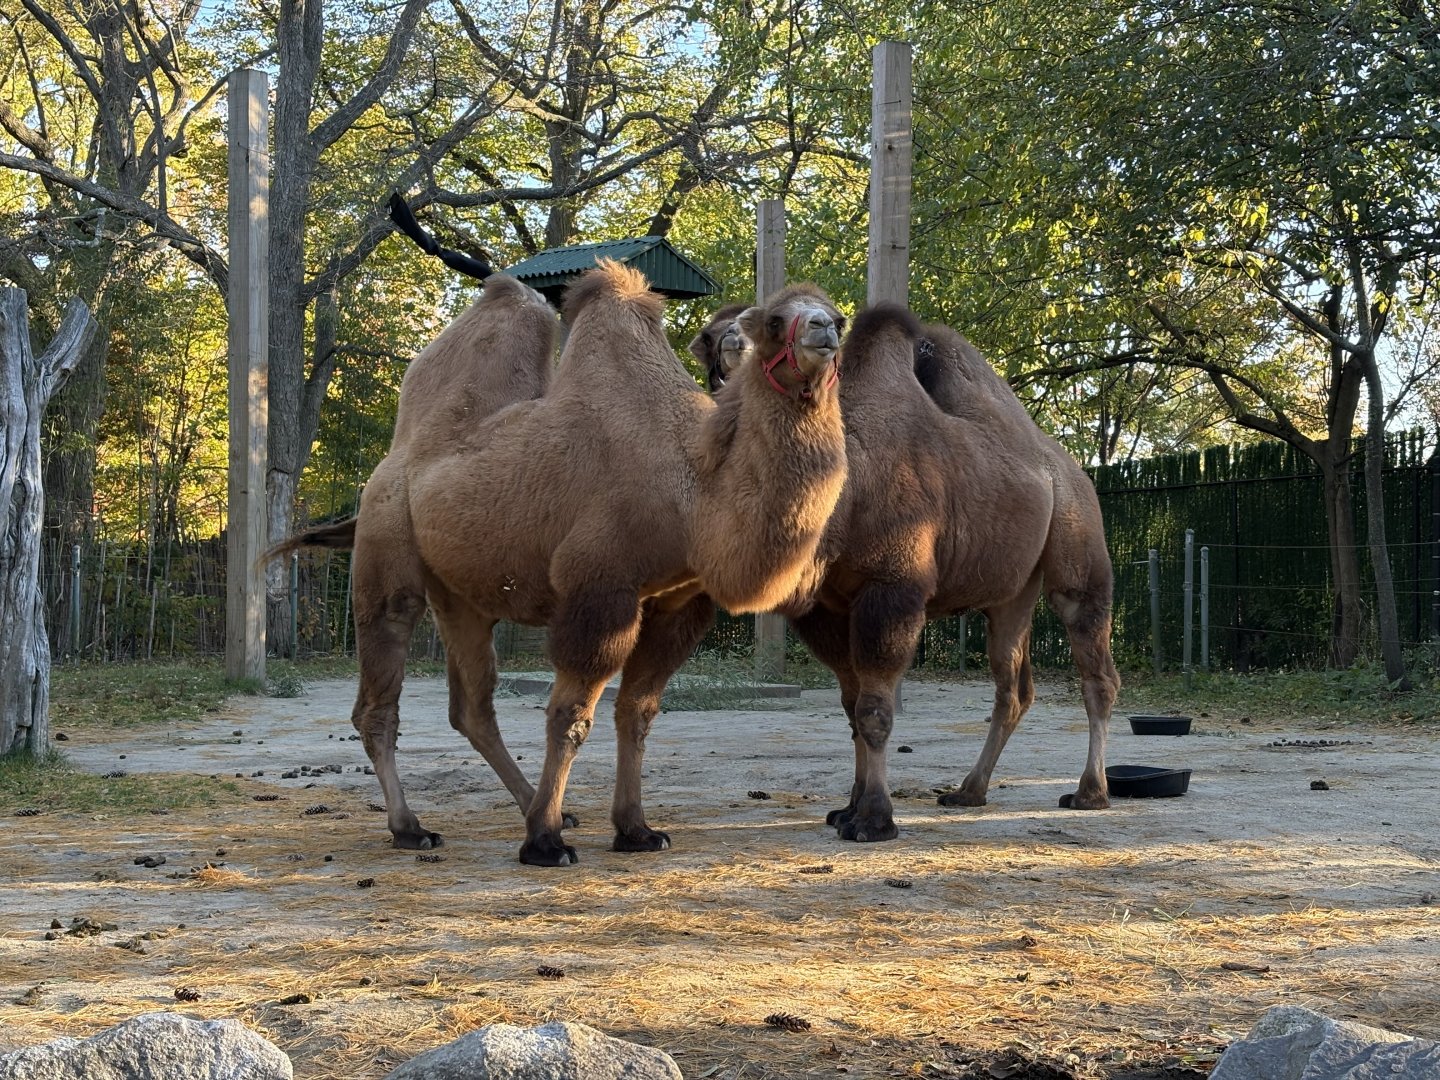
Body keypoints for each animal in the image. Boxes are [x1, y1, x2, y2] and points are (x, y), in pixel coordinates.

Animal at [276, 262, 848, 865]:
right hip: (387, 550)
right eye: (775, 321)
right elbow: (569, 718)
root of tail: (393, 464)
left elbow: (637, 714)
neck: (690, 486)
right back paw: (412, 827)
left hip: (460, 593)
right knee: (380, 691)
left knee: (472, 706)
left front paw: (635, 830)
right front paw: (545, 843)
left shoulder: (674, 603)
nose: (823, 330)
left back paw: (527, 803)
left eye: (837, 317)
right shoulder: (598, 588)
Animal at [695, 303, 1120, 841]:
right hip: (1012, 591)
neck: (849, 488)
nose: (730, 340)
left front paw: (874, 819)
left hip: (1077, 542)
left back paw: (1090, 792)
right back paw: (969, 791)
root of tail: (1070, 467)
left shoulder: (892, 588)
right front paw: (847, 809)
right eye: (709, 335)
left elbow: (875, 710)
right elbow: (851, 707)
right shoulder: (826, 609)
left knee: (1094, 665)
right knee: (1012, 685)